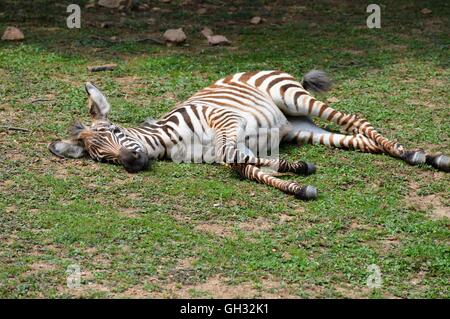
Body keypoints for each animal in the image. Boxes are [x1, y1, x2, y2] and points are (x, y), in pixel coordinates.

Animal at [47, 70, 448, 200]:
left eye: (116, 130)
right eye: (103, 158)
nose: (132, 162)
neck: (171, 138)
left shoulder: (224, 121)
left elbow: (234, 159)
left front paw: (287, 170)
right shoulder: (226, 150)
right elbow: (245, 167)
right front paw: (295, 177)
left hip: (294, 98)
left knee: (356, 120)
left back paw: (415, 155)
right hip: (301, 129)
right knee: (361, 140)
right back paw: (416, 154)